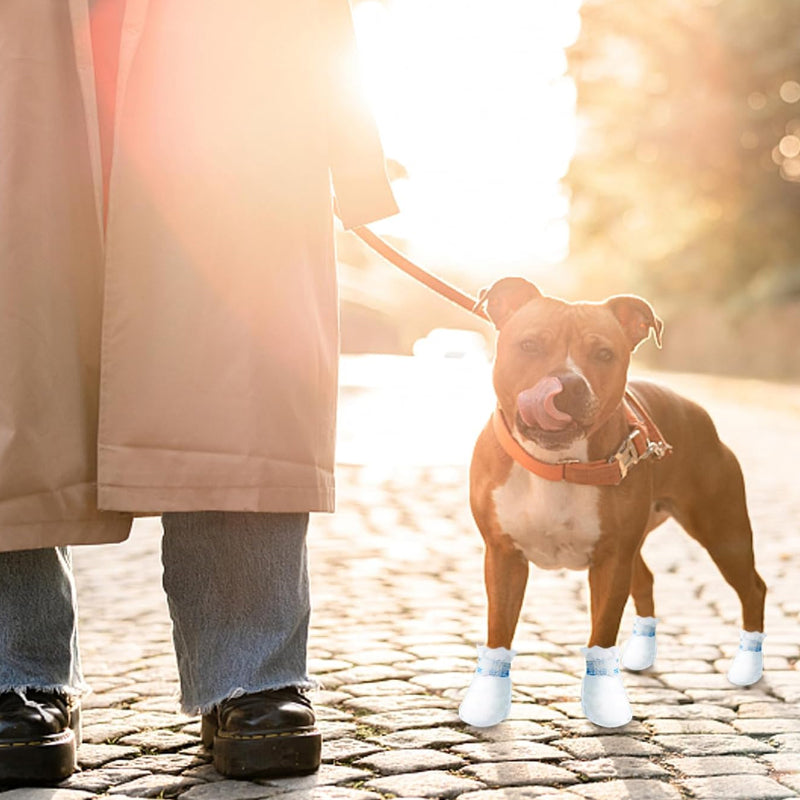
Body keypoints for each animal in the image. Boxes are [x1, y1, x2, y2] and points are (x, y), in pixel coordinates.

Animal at [460, 280, 764, 732]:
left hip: (722, 533)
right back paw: (641, 655)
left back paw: (747, 667)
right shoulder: (503, 555)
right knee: (648, 579)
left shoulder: (610, 560)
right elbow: (499, 628)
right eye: (529, 345)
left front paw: (602, 702)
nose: (566, 384)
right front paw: (488, 701)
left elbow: (602, 632)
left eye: (604, 354)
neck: (560, 465)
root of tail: (694, 408)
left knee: (753, 588)